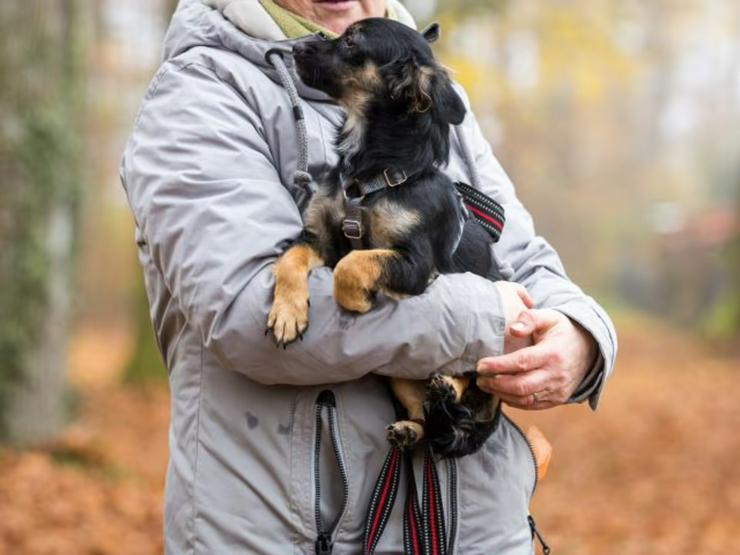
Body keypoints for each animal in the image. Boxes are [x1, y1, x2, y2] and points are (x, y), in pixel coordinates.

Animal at [266, 18, 502, 460]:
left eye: (351, 41)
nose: (297, 47)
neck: (372, 177)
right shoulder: (322, 238)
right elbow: (291, 258)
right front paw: (288, 312)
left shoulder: (416, 263)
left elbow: (354, 264)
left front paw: (356, 299)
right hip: (400, 376)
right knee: (428, 420)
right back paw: (411, 429)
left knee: (467, 379)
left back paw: (447, 385)